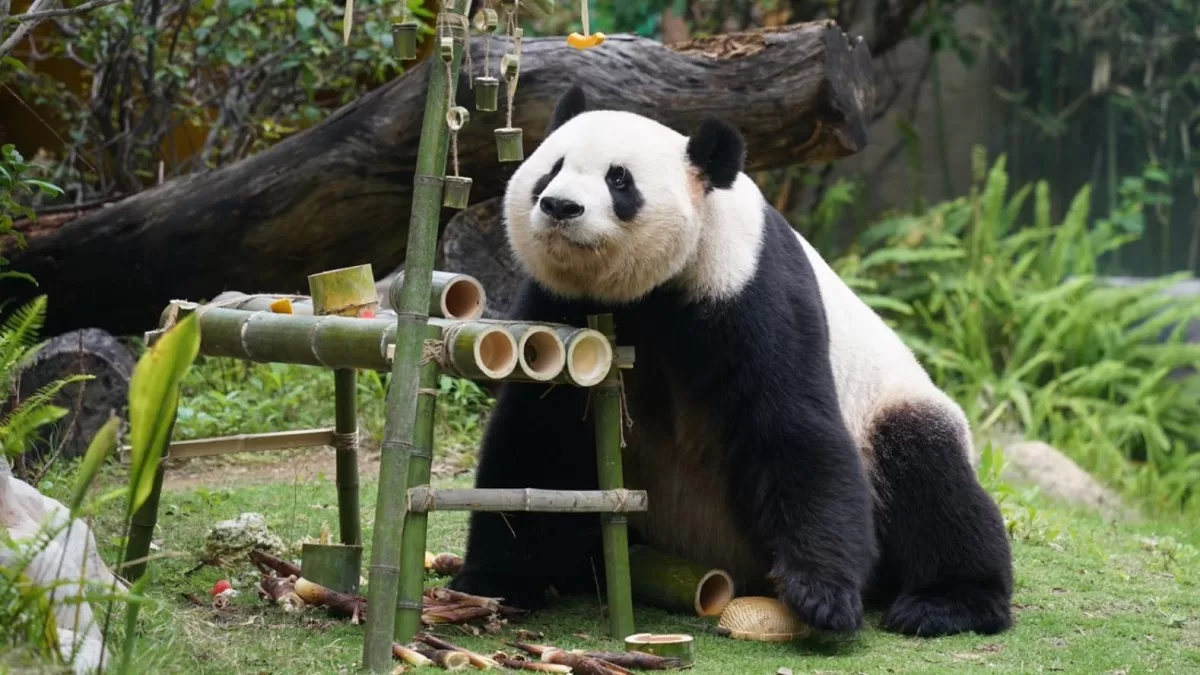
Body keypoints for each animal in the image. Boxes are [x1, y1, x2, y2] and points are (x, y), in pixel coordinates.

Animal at [447, 85, 1013, 638]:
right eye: (552, 167)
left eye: (618, 179)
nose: (560, 206)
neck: (645, 293)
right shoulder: (558, 307)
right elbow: (536, 435)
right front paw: (493, 581)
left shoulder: (748, 288)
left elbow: (793, 423)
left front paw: (822, 596)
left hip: (892, 408)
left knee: (929, 476)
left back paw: (948, 603)